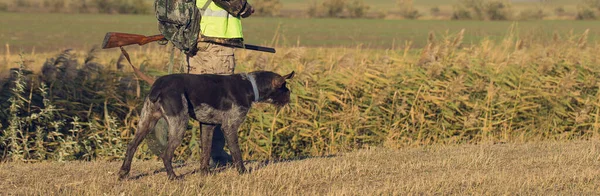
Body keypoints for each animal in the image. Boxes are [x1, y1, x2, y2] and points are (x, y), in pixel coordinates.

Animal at [118, 69, 294, 180]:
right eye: (284, 87)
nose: (290, 95)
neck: (250, 85)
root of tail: (158, 86)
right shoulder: (230, 127)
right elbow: (237, 154)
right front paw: (243, 173)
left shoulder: (207, 125)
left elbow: (205, 152)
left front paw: (205, 173)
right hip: (179, 124)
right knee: (166, 154)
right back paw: (173, 177)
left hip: (146, 122)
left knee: (131, 147)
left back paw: (123, 173)